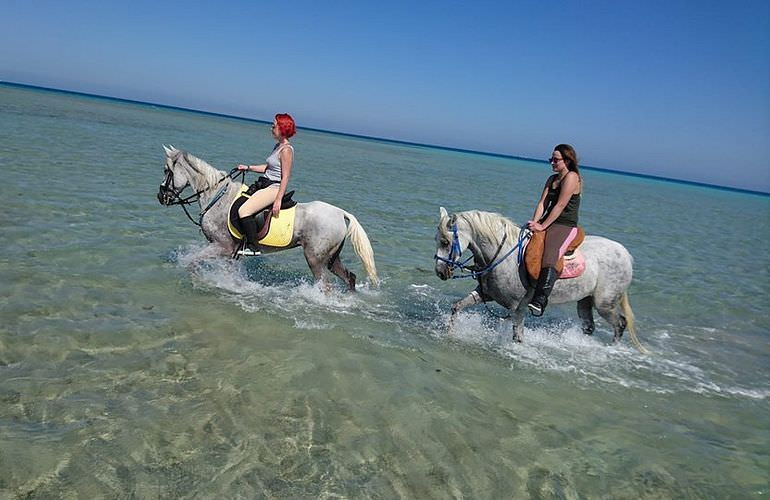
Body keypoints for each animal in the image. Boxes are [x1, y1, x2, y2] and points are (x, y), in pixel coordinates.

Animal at [154, 146, 376, 290]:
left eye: (166, 170)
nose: (160, 197)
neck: (218, 196)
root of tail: (340, 213)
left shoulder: (222, 246)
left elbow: (191, 263)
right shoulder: (230, 252)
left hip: (315, 258)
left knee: (326, 286)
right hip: (331, 258)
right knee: (349, 278)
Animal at [432, 207, 640, 352]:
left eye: (445, 242)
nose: (440, 272)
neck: (503, 256)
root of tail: (625, 254)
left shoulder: (517, 308)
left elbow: (518, 337)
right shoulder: (485, 294)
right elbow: (457, 307)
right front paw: (450, 333)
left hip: (604, 304)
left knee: (620, 324)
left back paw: (610, 350)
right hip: (585, 301)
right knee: (589, 326)